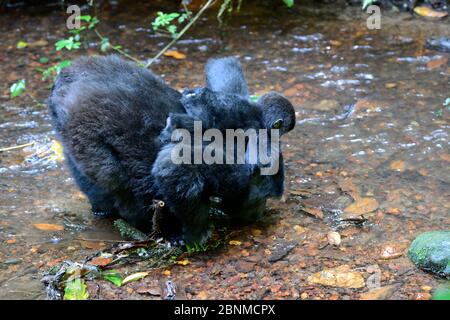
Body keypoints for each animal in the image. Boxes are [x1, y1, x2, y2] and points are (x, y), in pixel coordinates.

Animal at [48, 55, 296, 245]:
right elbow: (173, 168)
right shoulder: (233, 173)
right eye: (264, 198)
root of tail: (67, 75)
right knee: (112, 176)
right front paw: (194, 233)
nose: (259, 212)